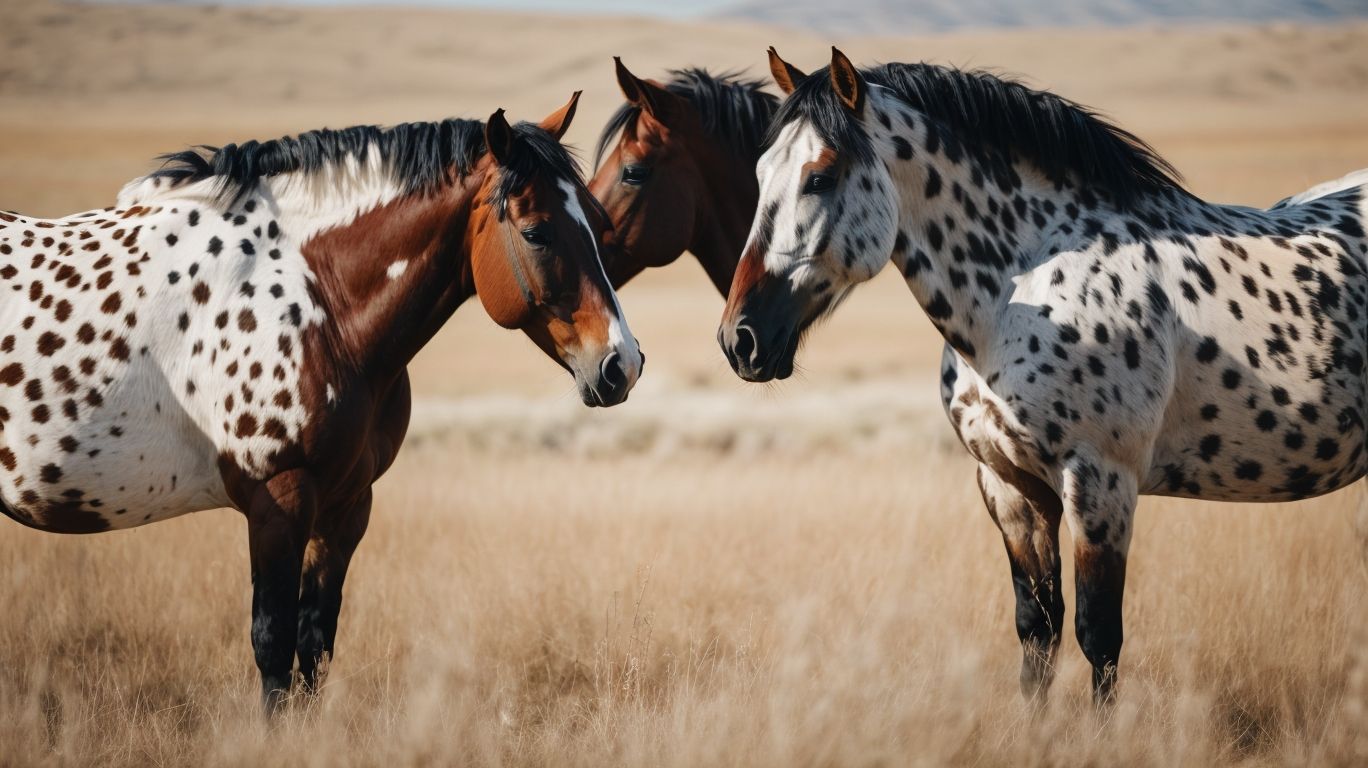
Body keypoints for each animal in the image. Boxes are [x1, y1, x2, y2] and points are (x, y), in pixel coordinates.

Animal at [0, 94, 643, 712]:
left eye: (597, 221)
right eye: (536, 231)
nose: (622, 364)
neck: (315, 299)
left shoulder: (345, 506)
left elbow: (314, 648)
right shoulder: (278, 501)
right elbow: (273, 647)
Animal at [718, 47, 1366, 705]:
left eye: (819, 177)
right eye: (760, 172)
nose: (739, 340)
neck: (1024, 288)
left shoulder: (1101, 484)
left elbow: (1097, 636)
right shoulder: (1010, 487)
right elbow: (1038, 629)